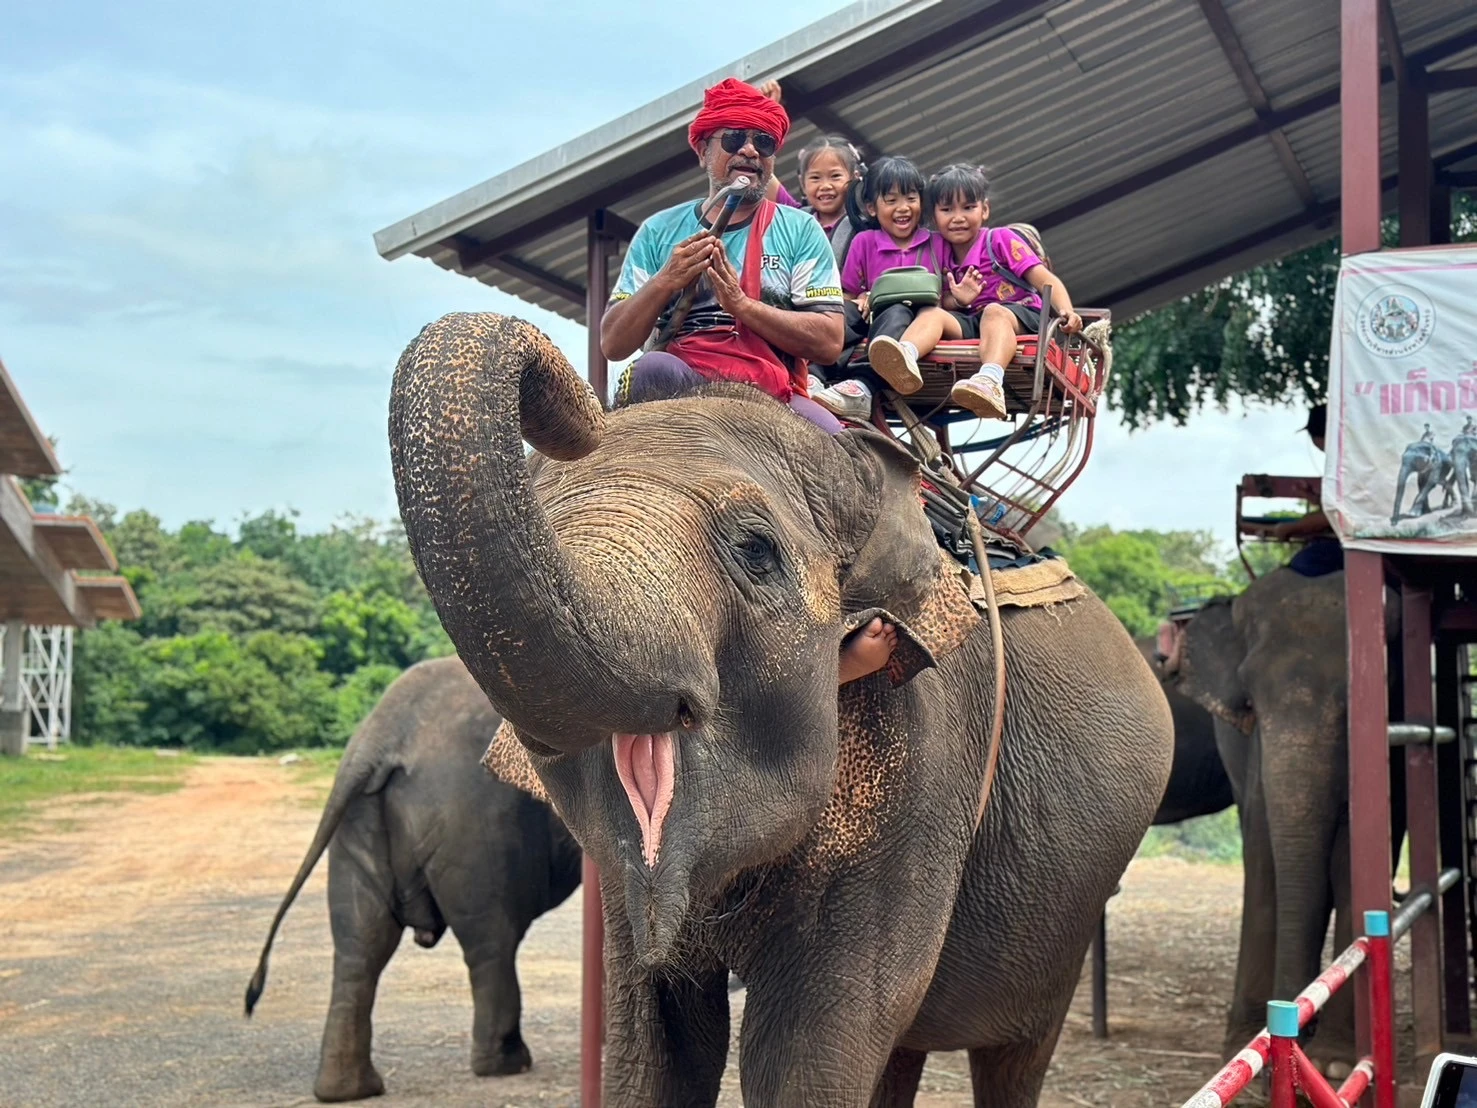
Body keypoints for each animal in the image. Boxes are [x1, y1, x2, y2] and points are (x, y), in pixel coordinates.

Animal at [245, 658, 578, 1105]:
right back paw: (507, 1064)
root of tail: (377, 738)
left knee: (361, 943)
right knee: (493, 939)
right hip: (471, 825)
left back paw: (348, 1090)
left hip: (360, 822)